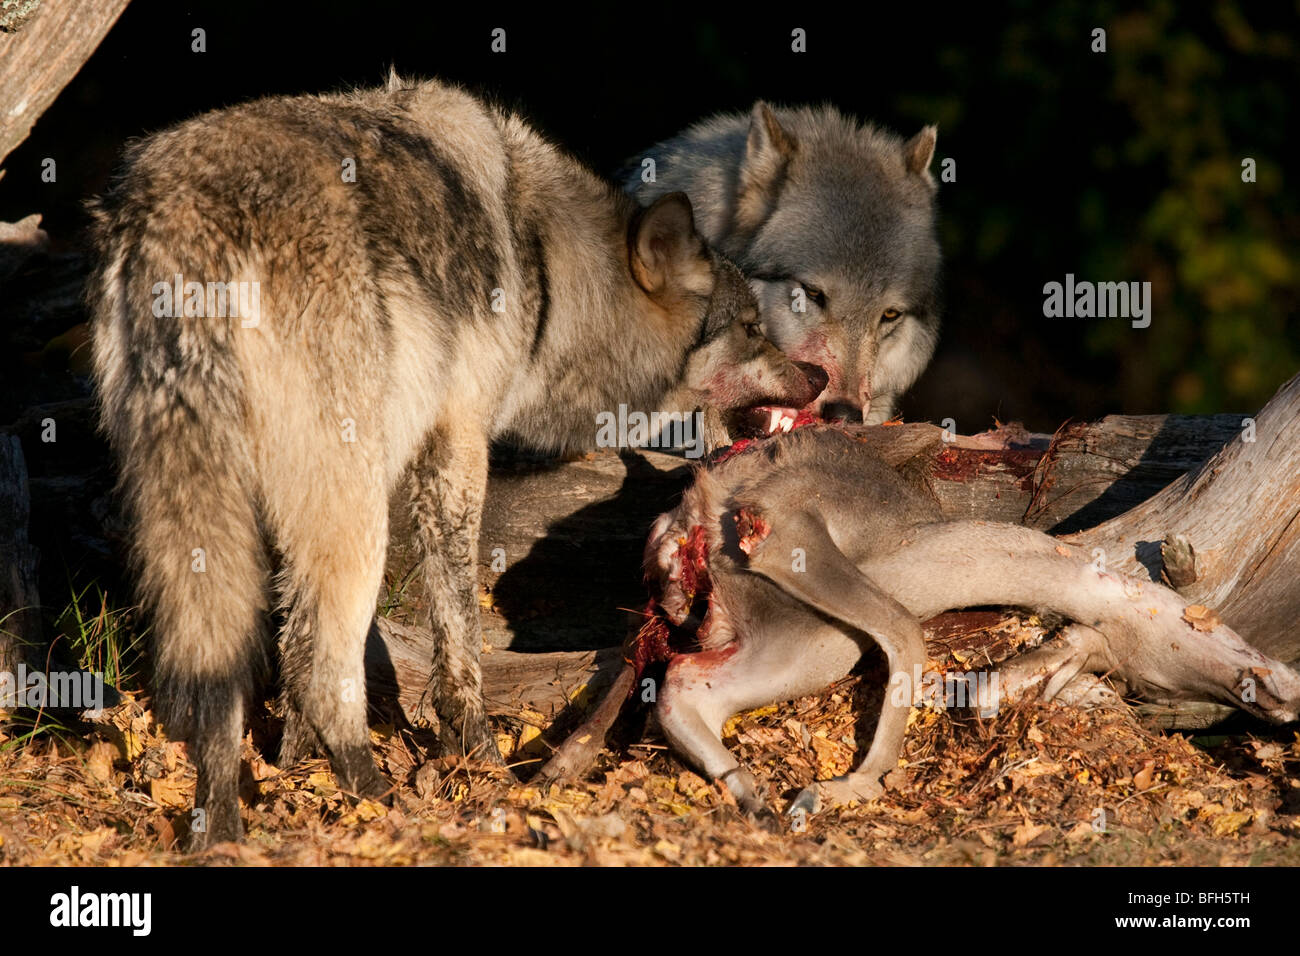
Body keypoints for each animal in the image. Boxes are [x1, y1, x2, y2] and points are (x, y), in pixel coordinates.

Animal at [89, 78, 821, 848]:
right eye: (751, 330)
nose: (818, 376)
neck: (546, 266)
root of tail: (189, 215)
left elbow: (291, 642)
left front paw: (291, 767)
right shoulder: (458, 446)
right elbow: (458, 630)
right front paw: (474, 757)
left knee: (223, 681)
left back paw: (221, 829)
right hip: (359, 517)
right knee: (326, 677)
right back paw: (378, 801)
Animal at [540, 429, 1300, 816]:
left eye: (1150, 686)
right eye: (1201, 625)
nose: (1281, 694)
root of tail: (685, 518)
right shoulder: (783, 528)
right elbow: (906, 631)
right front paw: (841, 787)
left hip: (792, 642)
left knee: (680, 678)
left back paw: (747, 793)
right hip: (801, 626)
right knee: (676, 674)